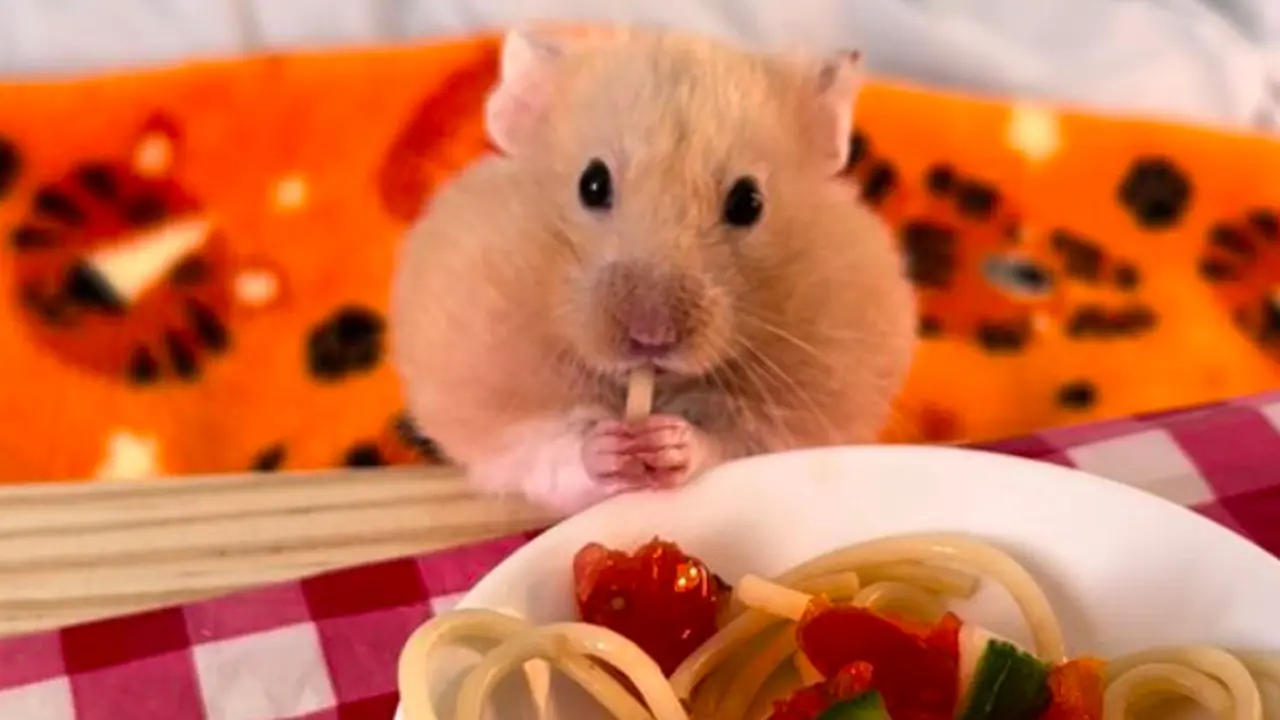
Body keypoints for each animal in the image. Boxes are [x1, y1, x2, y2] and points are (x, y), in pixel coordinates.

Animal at [391, 26, 916, 516]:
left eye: (748, 202)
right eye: (592, 183)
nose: (651, 338)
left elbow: (725, 442)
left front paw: (668, 443)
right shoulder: (493, 399)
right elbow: (552, 447)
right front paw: (611, 447)